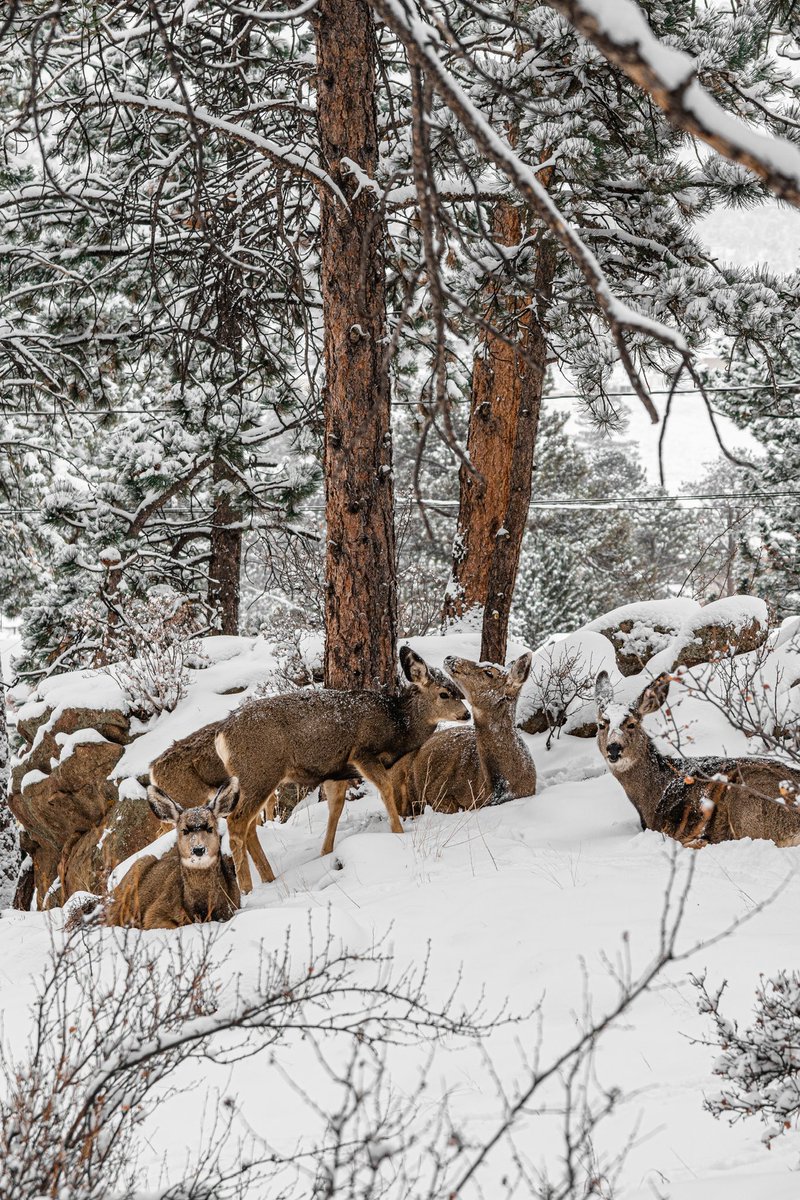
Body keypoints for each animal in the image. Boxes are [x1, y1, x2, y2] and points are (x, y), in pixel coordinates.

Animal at [215, 648, 472, 892]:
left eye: (459, 691)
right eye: (445, 693)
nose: (466, 714)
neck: (398, 724)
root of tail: (221, 736)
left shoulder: (336, 771)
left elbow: (335, 809)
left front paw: (325, 851)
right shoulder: (362, 753)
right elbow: (386, 789)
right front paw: (398, 832)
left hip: (259, 778)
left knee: (250, 826)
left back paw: (269, 878)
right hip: (260, 772)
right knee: (237, 822)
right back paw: (247, 888)